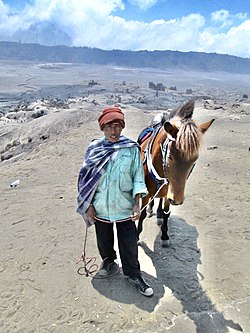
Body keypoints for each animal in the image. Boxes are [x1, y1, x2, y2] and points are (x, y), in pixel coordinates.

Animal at [138, 100, 214, 245]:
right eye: (170, 156)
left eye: (194, 160)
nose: (177, 200)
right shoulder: (147, 192)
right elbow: (142, 213)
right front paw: (137, 236)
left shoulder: (169, 189)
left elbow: (167, 212)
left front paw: (165, 236)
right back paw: (151, 209)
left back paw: (159, 214)